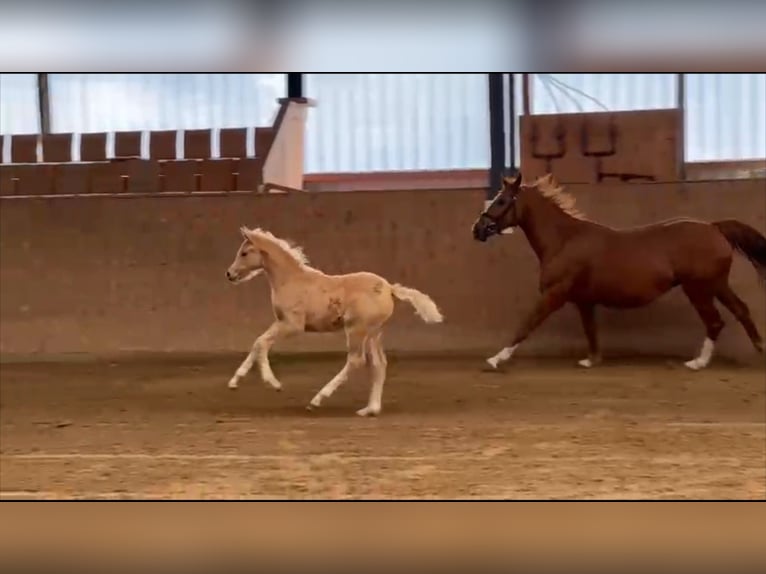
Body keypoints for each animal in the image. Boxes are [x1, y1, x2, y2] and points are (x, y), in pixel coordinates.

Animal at [225, 226, 444, 416]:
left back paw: (317, 400)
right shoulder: (280, 322)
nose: (229, 274)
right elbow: (258, 342)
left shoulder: (292, 325)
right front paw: (235, 381)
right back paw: (370, 409)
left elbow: (261, 342)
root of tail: (390, 288)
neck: (291, 280)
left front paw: (273, 383)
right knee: (379, 364)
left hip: (356, 330)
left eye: (244, 253)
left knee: (356, 360)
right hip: (373, 333)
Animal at [472, 172, 766, 371]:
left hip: (698, 289)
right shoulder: (584, 300)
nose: (477, 230)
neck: (564, 240)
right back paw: (759, 350)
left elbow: (527, 324)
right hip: (717, 285)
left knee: (715, 321)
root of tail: (714, 227)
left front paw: (495, 359)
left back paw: (697, 362)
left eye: (502, 201)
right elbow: (590, 330)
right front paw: (591, 360)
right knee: (740, 310)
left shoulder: (555, 294)